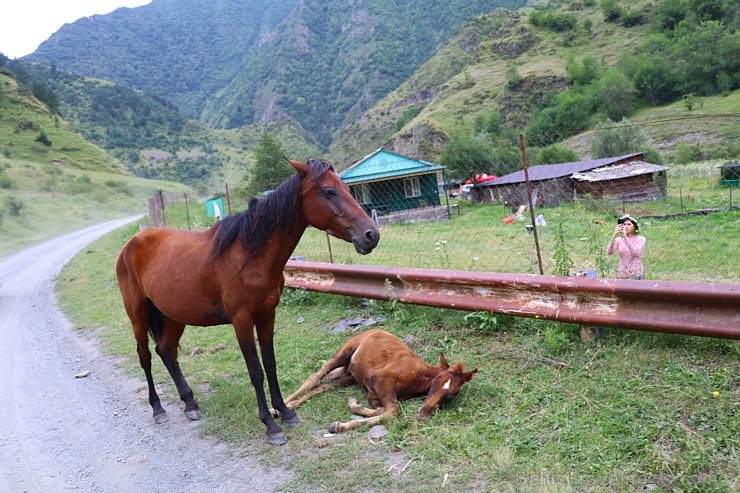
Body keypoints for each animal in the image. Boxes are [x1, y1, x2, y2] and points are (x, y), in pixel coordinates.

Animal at [117, 157, 382, 442]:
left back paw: (190, 403)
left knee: (166, 351)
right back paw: (158, 409)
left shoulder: (267, 316)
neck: (250, 256)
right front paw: (270, 424)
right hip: (138, 315)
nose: (371, 235)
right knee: (145, 356)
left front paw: (285, 412)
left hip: (175, 315)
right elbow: (255, 371)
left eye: (346, 188)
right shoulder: (242, 321)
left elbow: (270, 364)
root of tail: (132, 243)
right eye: (329, 192)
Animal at [274, 328, 476, 432]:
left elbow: (378, 409)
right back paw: (278, 408)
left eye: (453, 393)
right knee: (314, 378)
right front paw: (340, 425)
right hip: (344, 352)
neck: (419, 377)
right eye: (436, 381)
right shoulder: (380, 379)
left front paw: (353, 405)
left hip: (349, 377)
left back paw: (289, 406)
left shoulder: (373, 391)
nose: (423, 413)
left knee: (323, 385)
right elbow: (392, 411)